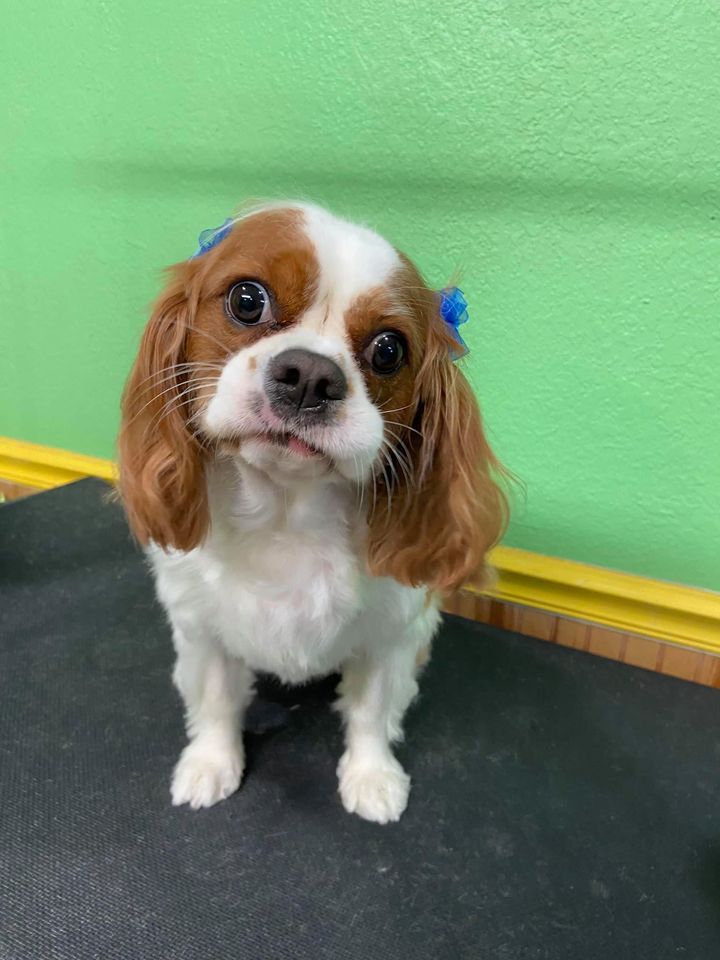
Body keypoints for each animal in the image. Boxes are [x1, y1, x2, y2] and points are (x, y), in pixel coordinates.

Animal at [118, 202, 506, 823]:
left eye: (388, 350)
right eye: (246, 299)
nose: (310, 375)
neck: (286, 512)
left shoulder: (394, 635)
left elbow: (372, 712)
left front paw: (372, 777)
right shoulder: (201, 628)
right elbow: (216, 701)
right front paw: (210, 764)